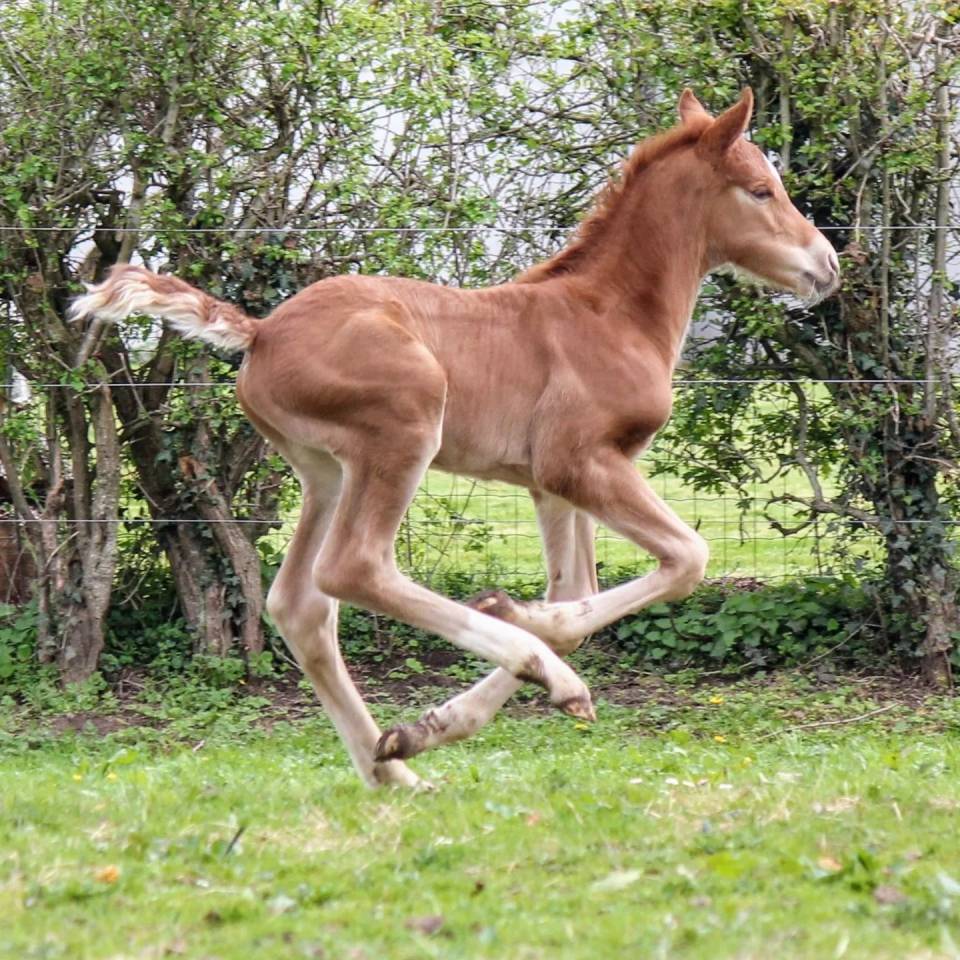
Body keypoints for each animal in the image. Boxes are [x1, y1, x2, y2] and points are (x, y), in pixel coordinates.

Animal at [72, 88, 839, 788]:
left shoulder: (552, 486)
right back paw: (518, 679)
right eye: (762, 190)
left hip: (326, 472)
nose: (827, 265)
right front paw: (527, 641)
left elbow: (577, 591)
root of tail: (260, 333)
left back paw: (393, 771)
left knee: (300, 603)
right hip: (404, 428)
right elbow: (683, 560)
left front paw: (436, 721)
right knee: (354, 567)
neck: (609, 314)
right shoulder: (578, 462)